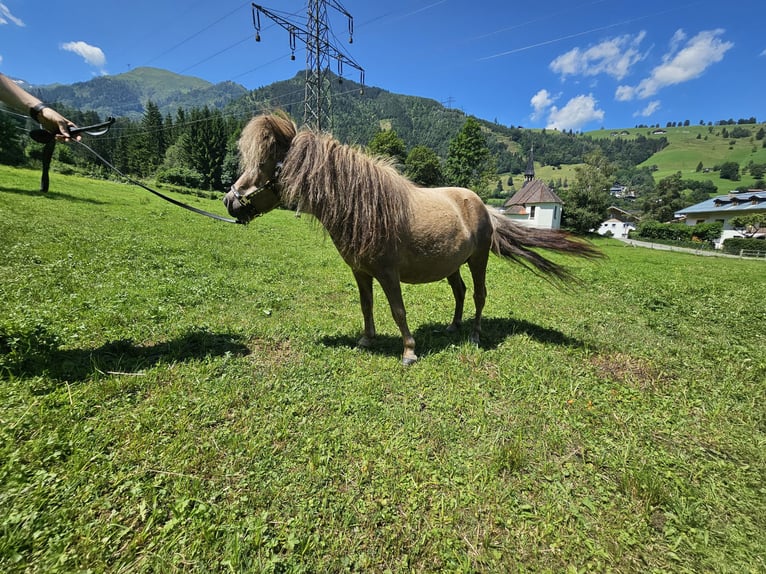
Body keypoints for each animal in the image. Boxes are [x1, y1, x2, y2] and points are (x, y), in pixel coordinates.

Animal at [225, 112, 604, 364]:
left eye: (264, 165)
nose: (229, 200)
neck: (366, 207)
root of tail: (483, 206)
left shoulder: (388, 274)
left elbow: (398, 309)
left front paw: (408, 351)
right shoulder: (360, 273)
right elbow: (366, 305)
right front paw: (366, 340)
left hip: (478, 258)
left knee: (479, 295)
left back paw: (474, 335)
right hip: (452, 264)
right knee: (460, 292)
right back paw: (453, 327)